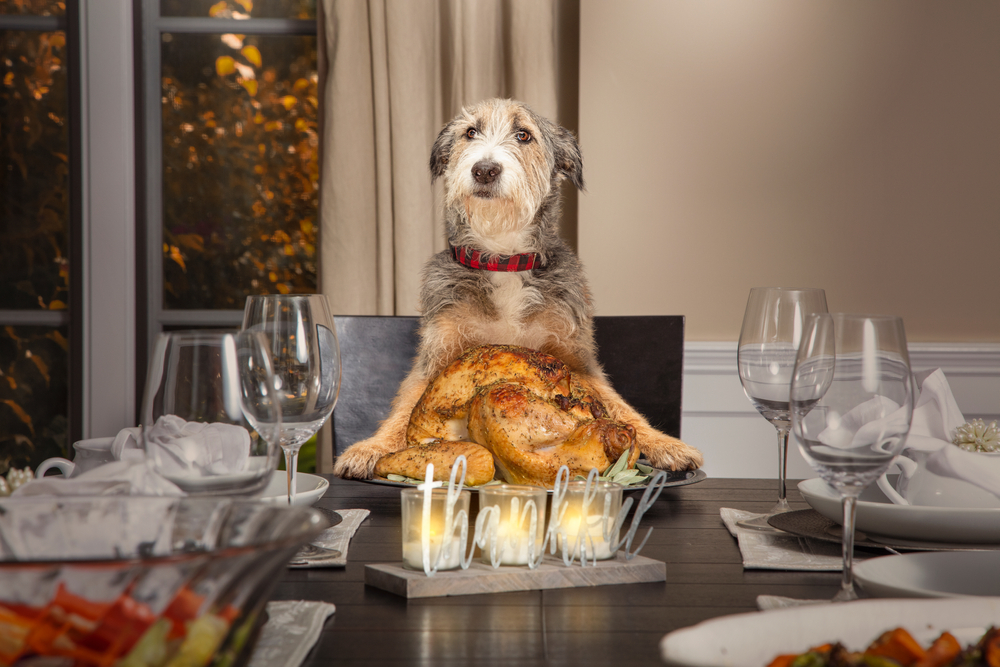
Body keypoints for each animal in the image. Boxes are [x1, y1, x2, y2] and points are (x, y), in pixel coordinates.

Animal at [330, 98, 704, 480]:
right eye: (470, 132)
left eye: (523, 135)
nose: (484, 170)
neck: (504, 257)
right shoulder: (438, 355)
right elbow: (407, 404)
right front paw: (371, 447)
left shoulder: (577, 359)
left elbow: (619, 405)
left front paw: (664, 443)